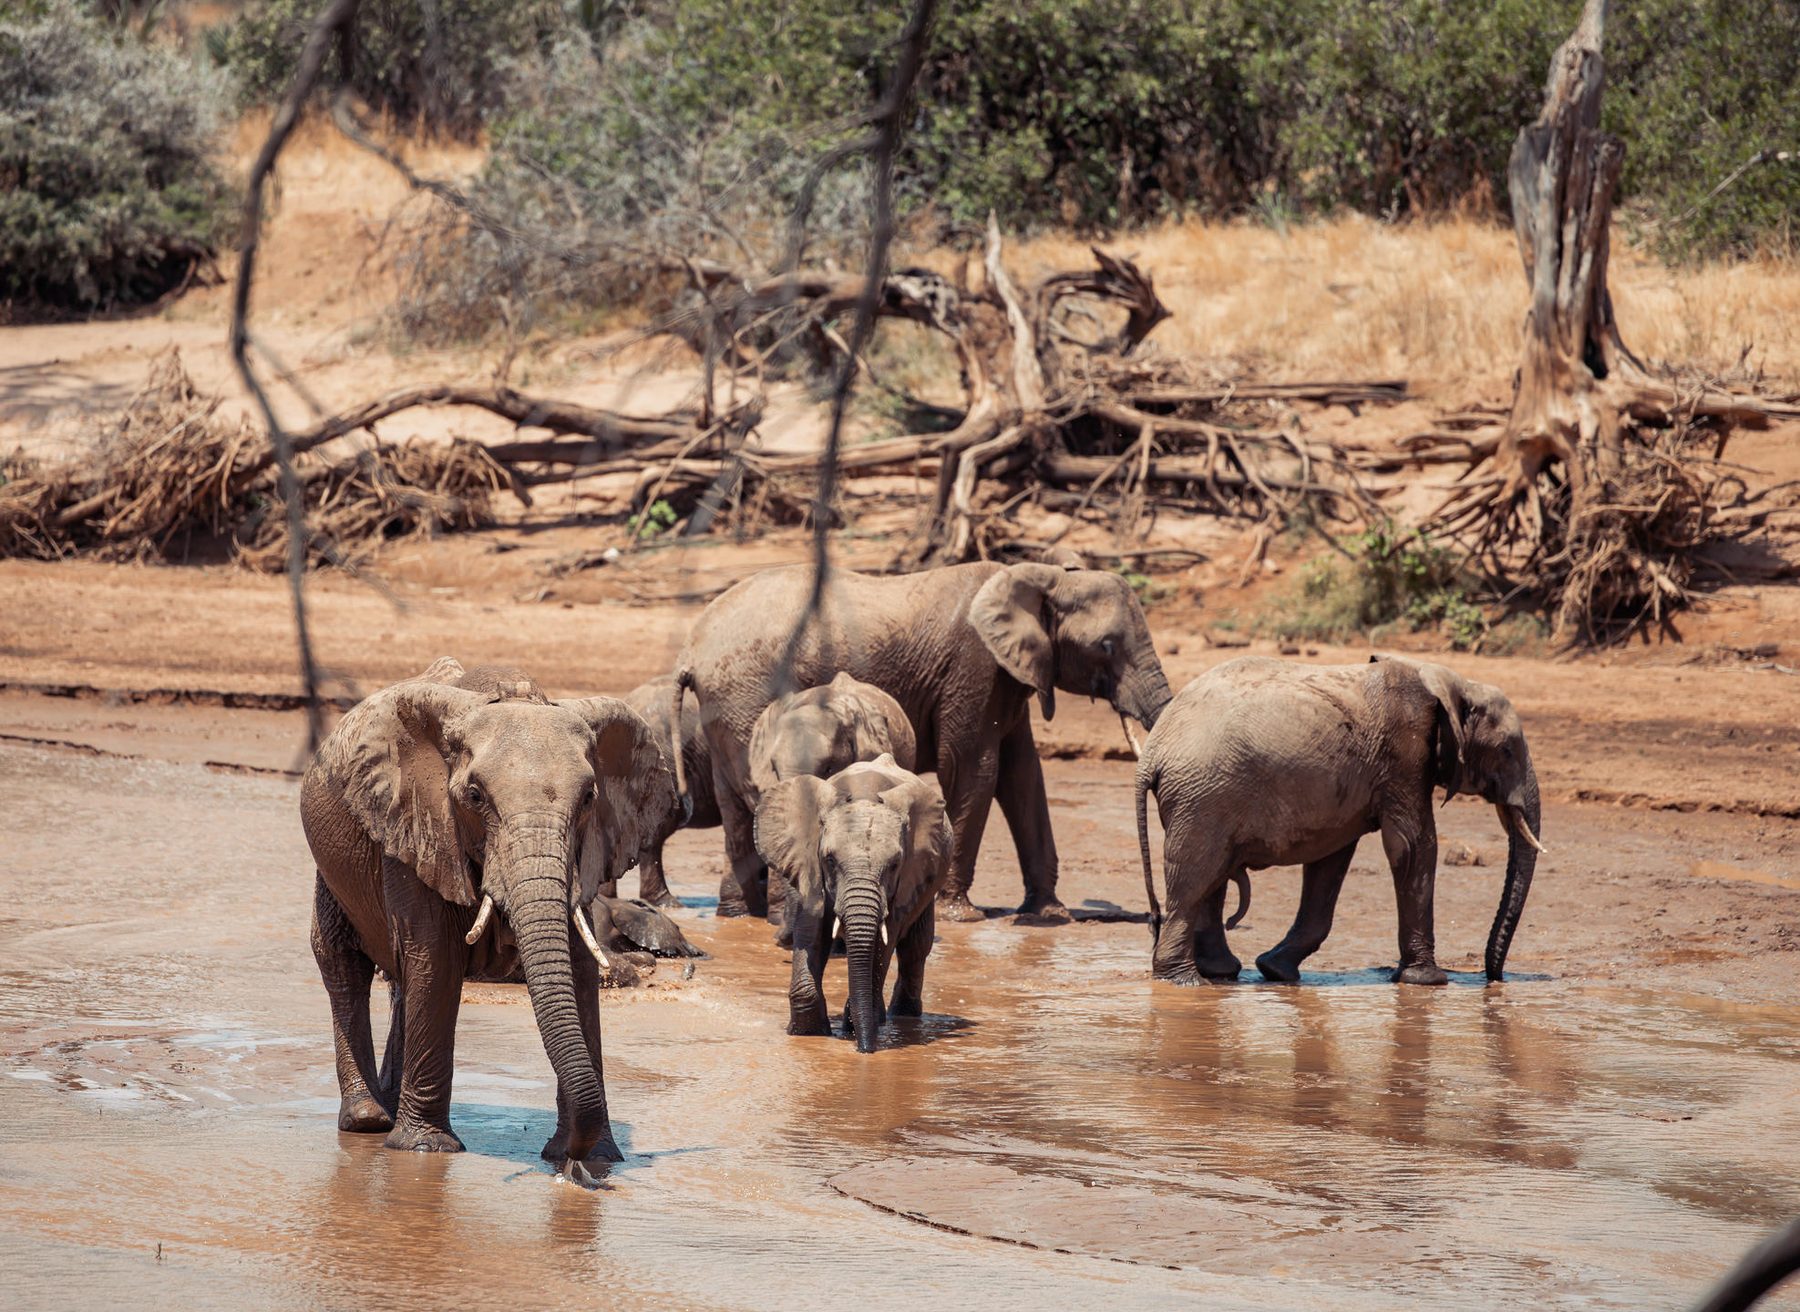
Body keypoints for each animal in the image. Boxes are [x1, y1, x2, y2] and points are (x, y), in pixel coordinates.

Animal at [299, 657, 674, 1178]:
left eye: (588, 799)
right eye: (475, 796)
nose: (571, 1170)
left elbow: (578, 968)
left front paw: (596, 1158)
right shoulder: (419, 826)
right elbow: (436, 958)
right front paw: (424, 1150)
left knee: (400, 979)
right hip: (334, 868)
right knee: (343, 960)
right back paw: (369, 1120)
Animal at [673, 561, 1172, 925]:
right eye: (1106, 645)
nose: (1154, 917)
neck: (1042, 573)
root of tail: (691, 647)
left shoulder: (1009, 676)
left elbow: (1023, 775)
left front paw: (1051, 916)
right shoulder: (975, 667)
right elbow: (975, 769)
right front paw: (962, 917)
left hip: (729, 710)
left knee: (735, 806)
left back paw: (739, 916)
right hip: (743, 696)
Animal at [754, 755, 953, 1051]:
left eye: (895, 864)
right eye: (829, 859)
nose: (865, 1050)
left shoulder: (906, 878)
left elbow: (885, 942)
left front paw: (854, 1028)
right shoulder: (809, 865)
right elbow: (811, 931)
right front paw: (807, 1033)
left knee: (916, 948)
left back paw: (900, 1016)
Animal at [1135, 654, 1543, 987]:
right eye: (1507, 750)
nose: (1494, 979)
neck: (1451, 681)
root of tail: (1152, 753)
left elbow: (1331, 858)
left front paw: (1276, 970)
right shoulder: (1405, 754)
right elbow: (1412, 845)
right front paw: (1428, 981)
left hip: (1203, 798)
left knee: (1212, 879)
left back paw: (1218, 973)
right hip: (1202, 797)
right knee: (1195, 880)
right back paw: (1185, 982)